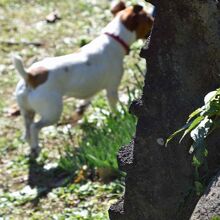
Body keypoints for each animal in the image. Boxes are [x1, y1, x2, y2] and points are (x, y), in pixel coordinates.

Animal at [12, 1, 153, 156]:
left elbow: (87, 100)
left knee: (27, 131)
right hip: (52, 112)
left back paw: (32, 148)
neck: (114, 38)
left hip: (27, 111)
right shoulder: (112, 88)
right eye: (150, 20)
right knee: (34, 127)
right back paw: (36, 147)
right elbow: (114, 105)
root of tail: (30, 76)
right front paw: (118, 116)